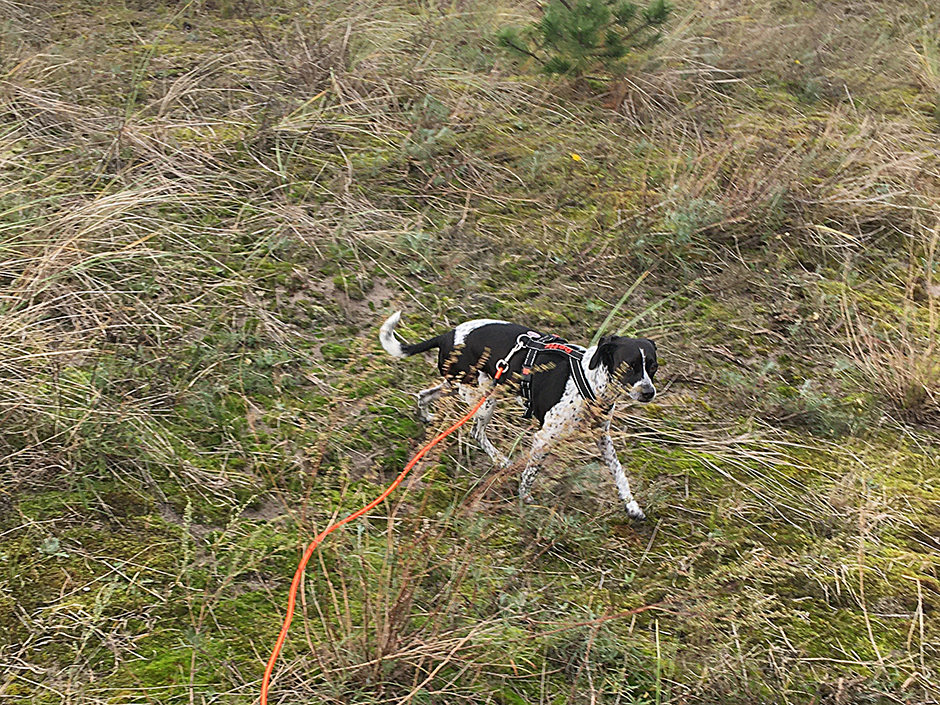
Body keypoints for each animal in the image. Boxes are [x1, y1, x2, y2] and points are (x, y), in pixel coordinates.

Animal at [378, 310, 656, 520]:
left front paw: (631, 506)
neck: (590, 380)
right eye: (628, 366)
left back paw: (425, 416)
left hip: (461, 385)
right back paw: (499, 460)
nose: (649, 392)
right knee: (476, 431)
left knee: (424, 394)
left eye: (652, 367)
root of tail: (448, 335)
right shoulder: (544, 439)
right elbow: (530, 474)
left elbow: (619, 473)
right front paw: (525, 499)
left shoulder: (602, 438)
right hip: (483, 398)